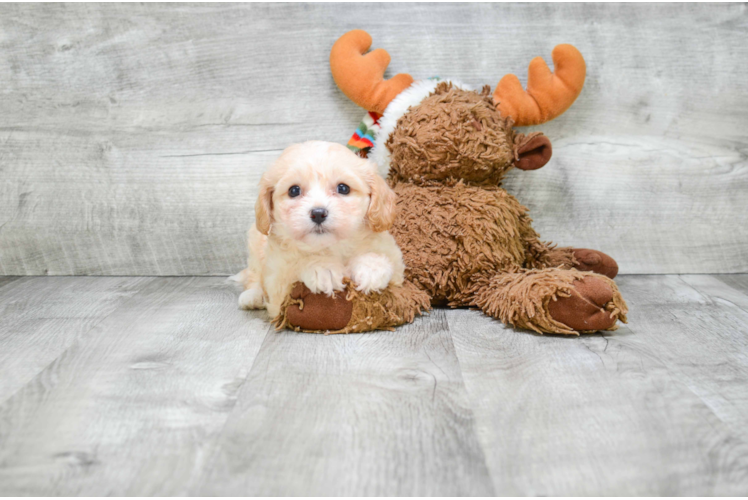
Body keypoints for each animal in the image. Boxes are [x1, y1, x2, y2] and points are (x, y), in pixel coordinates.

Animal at [237, 141, 406, 318]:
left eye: (343, 188)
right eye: (294, 190)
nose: (318, 213)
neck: (332, 247)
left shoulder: (397, 269)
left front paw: (371, 268)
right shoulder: (277, 284)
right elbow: (294, 267)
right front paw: (322, 268)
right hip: (255, 245)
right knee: (254, 276)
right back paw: (252, 296)